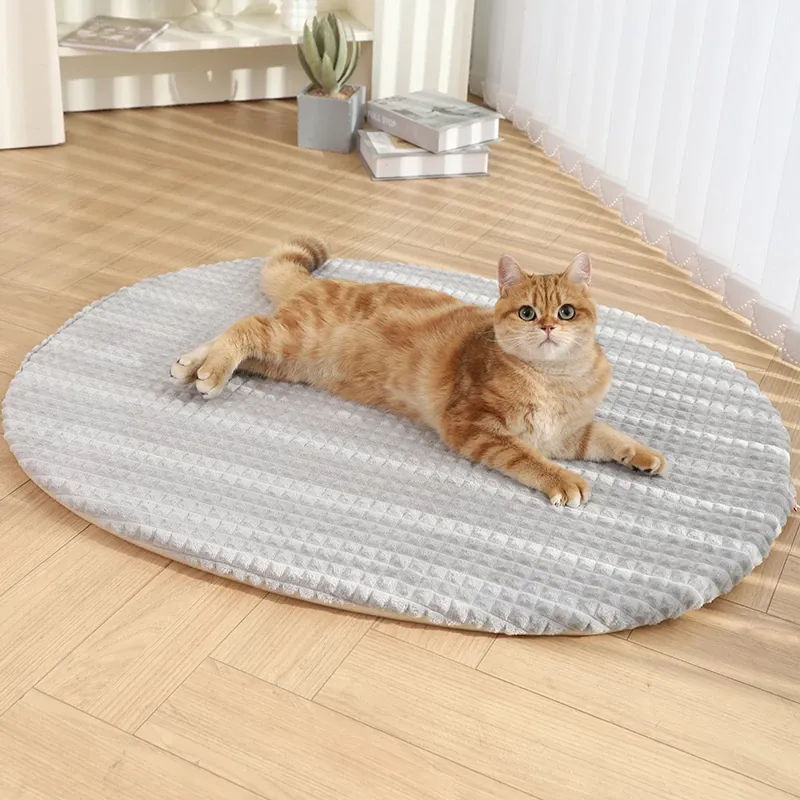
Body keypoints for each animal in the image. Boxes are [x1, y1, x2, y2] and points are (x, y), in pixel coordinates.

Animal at [171, 235, 666, 507]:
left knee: (235, 339)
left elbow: (608, 436)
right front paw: (565, 481)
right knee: (246, 326)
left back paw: (192, 366)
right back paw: (210, 373)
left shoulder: (568, 434)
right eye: (527, 312)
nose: (547, 326)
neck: (555, 381)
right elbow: (531, 460)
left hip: (283, 362)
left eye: (566, 311)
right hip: (290, 338)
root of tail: (317, 283)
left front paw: (643, 456)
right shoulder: (475, 427)